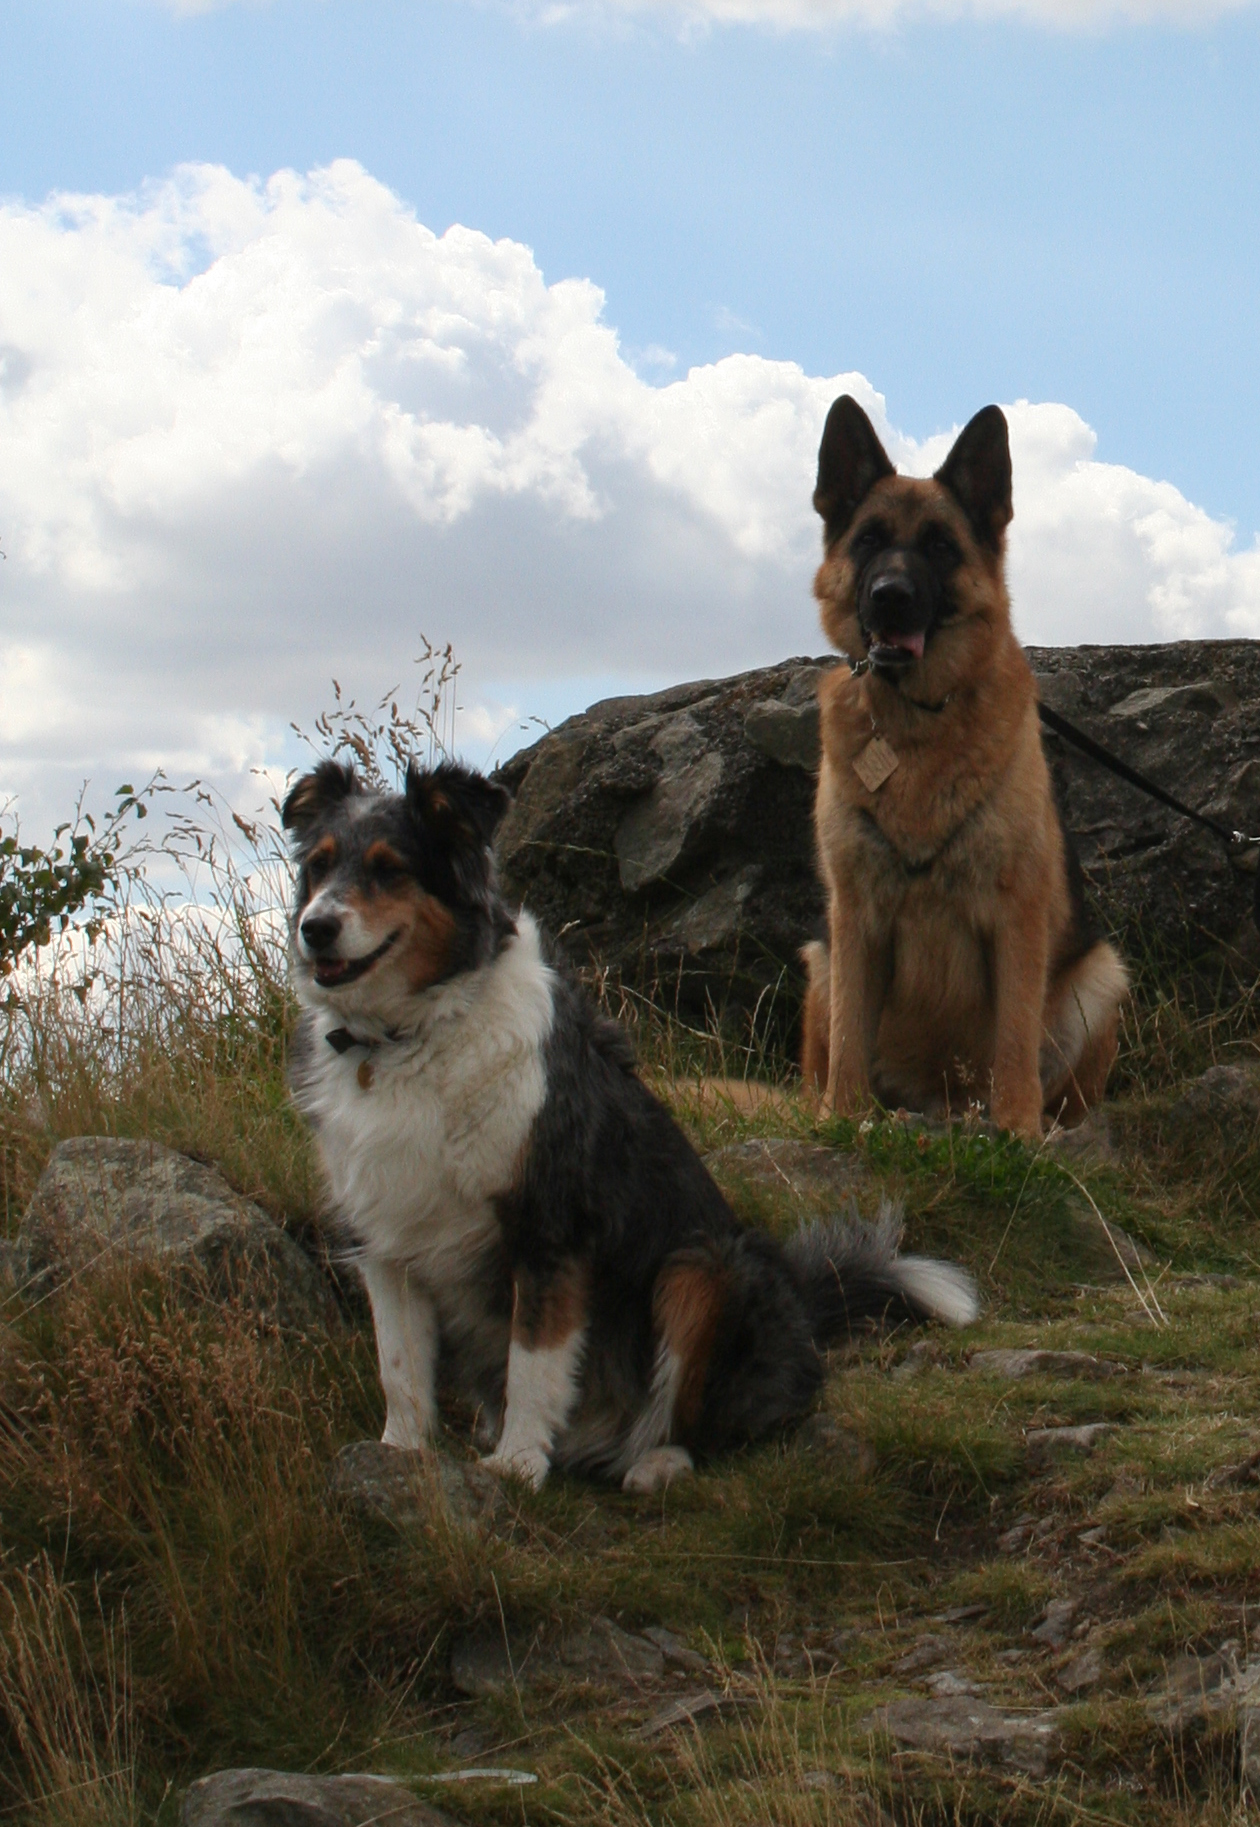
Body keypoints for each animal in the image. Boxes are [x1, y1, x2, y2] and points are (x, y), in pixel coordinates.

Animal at [286, 756, 978, 1483]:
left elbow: (532, 1360)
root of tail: (801, 1312)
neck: (409, 1033)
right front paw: (399, 1452)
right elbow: (399, 1366)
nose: (315, 928)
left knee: (720, 1422)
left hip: (702, 1269)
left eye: (391, 869)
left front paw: (519, 1463)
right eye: (320, 866)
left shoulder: (549, 1224)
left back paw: (656, 1461)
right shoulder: (386, 1233)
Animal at [803, 400, 1132, 1140]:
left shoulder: (1016, 917)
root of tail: (940, 1103)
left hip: (1100, 977)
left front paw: (1016, 1130)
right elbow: (850, 1040)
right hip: (819, 961)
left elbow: (1012, 1037)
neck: (919, 721)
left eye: (939, 546)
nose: (890, 596)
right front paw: (843, 1119)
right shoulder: (854, 920)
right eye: (868, 540)